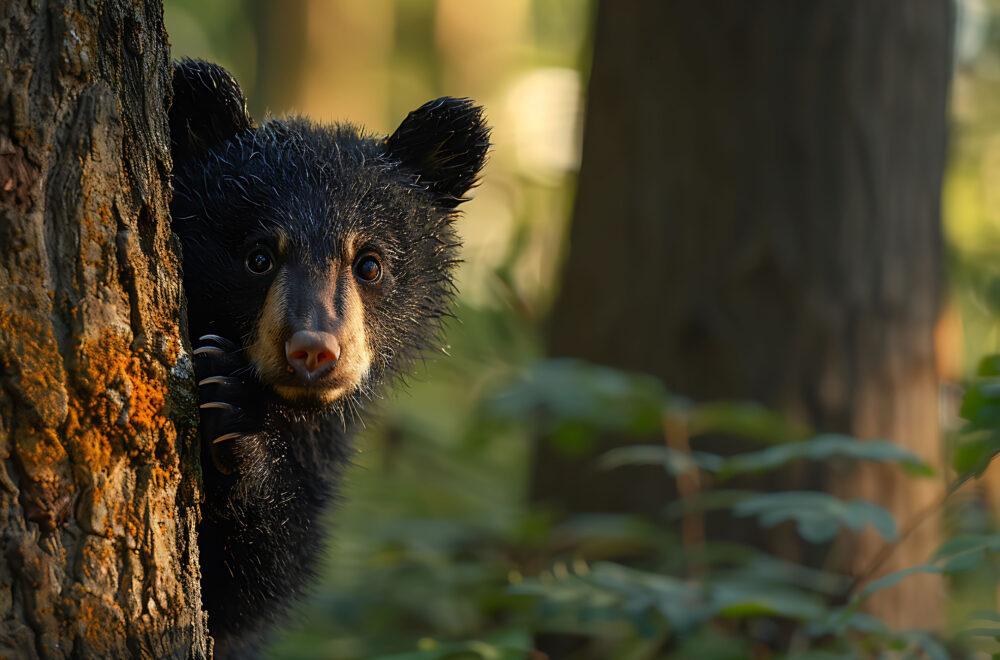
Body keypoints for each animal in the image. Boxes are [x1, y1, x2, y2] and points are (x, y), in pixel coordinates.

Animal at [168, 59, 489, 656]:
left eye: (370, 264)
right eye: (258, 257)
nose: (313, 349)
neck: (290, 410)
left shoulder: (322, 451)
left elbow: (260, 584)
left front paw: (231, 409)